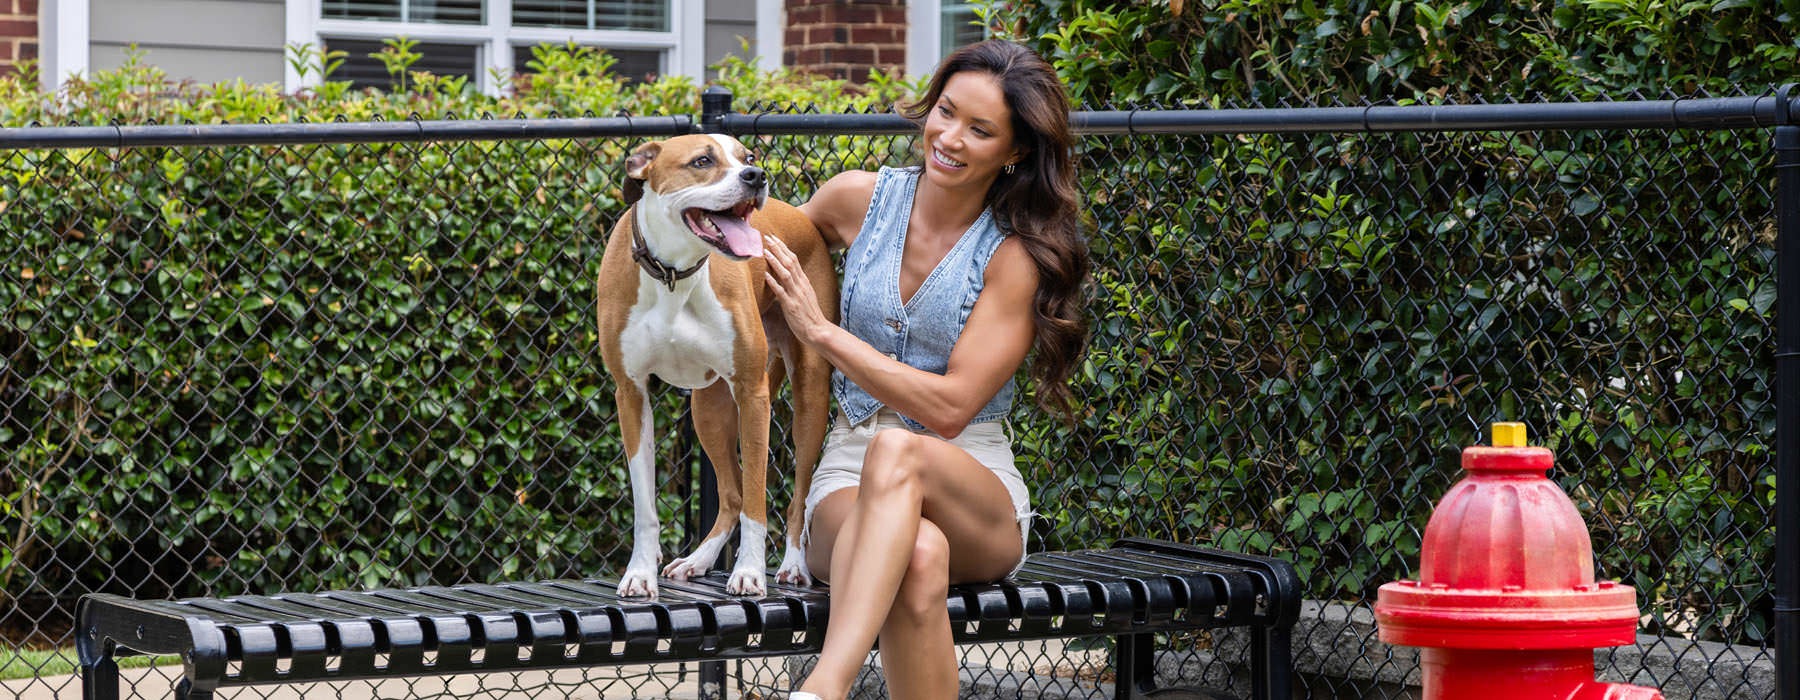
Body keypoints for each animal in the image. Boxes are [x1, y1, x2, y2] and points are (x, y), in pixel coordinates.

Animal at [597, 132, 835, 593]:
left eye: (748, 156)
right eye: (702, 161)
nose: (756, 175)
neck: (674, 274)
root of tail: (801, 216)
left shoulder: (752, 394)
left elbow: (758, 497)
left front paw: (749, 572)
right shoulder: (630, 393)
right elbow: (644, 503)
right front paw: (640, 573)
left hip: (809, 395)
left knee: (796, 495)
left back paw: (793, 564)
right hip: (707, 406)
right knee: (730, 493)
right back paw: (698, 559)